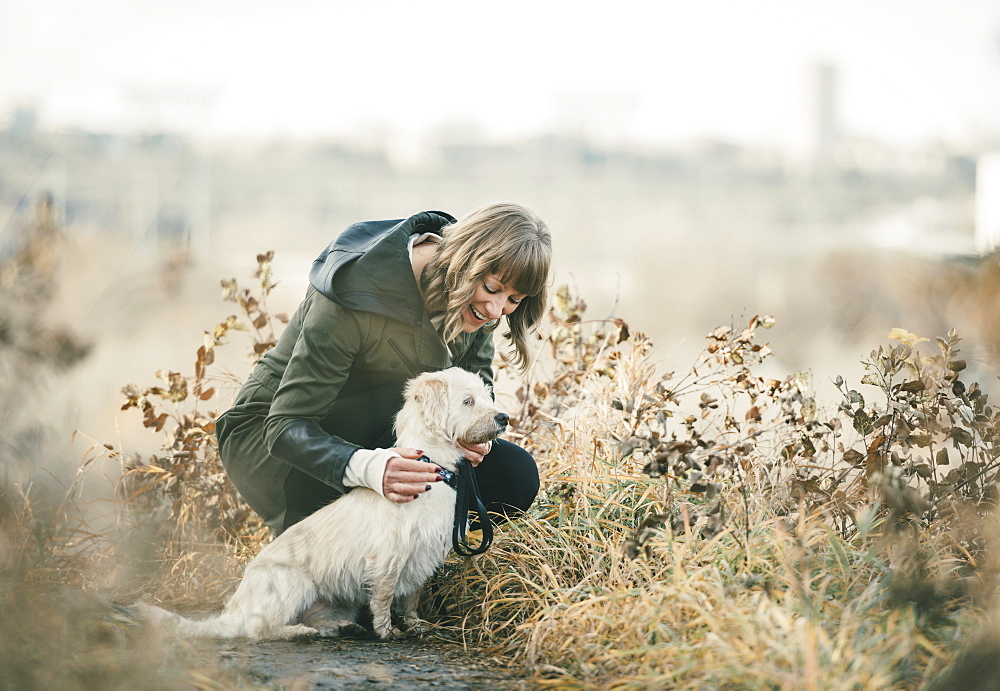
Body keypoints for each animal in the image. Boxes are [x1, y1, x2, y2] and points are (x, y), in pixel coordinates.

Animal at [137, 370, 504, 640]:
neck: (432, 464)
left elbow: (410, 597)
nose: (504, 418)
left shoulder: (423, 556)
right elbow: (385, 597)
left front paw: (416, 624)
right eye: (468, 400)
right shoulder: (389, 556)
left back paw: (340, 626)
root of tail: (233, 611)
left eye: (487, 394)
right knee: (257, 630)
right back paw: (298, 632)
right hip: (291, 584)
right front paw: (387, 632)